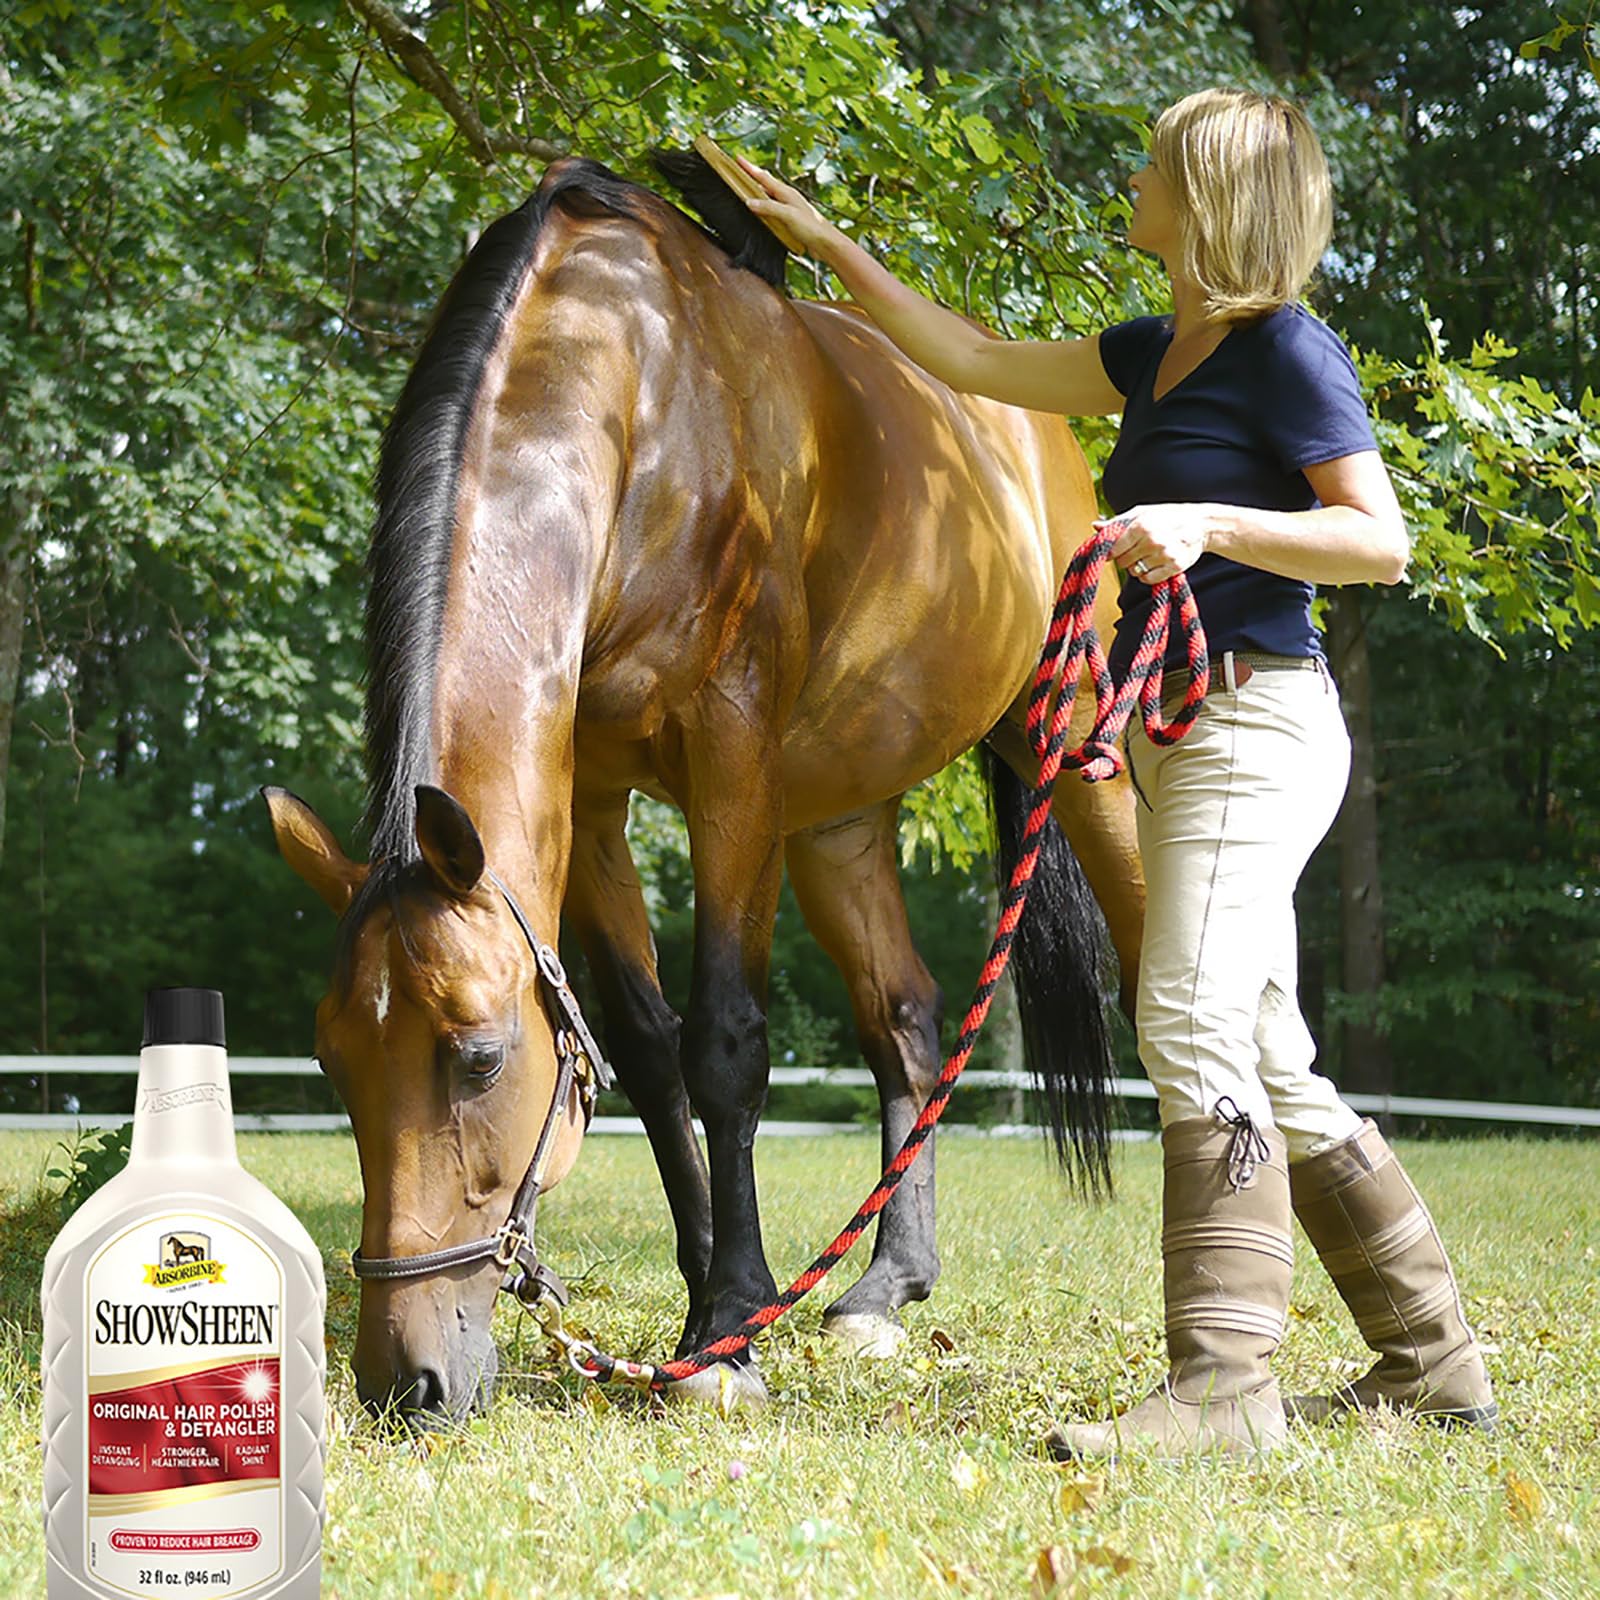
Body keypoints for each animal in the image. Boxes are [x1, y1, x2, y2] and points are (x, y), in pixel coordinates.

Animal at [262, 148, 1144, 1424]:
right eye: (332, 1058)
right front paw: (714, 1306)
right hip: (837, 815)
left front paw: (728, 1329)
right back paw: (883, 1287)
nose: (407, 1380)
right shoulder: (587, 800)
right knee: (905, 1019)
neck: (639, 393)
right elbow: (644, 1045)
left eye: (478, 1056)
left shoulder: (730, 759)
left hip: (1072, 754)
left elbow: (723, 1044)